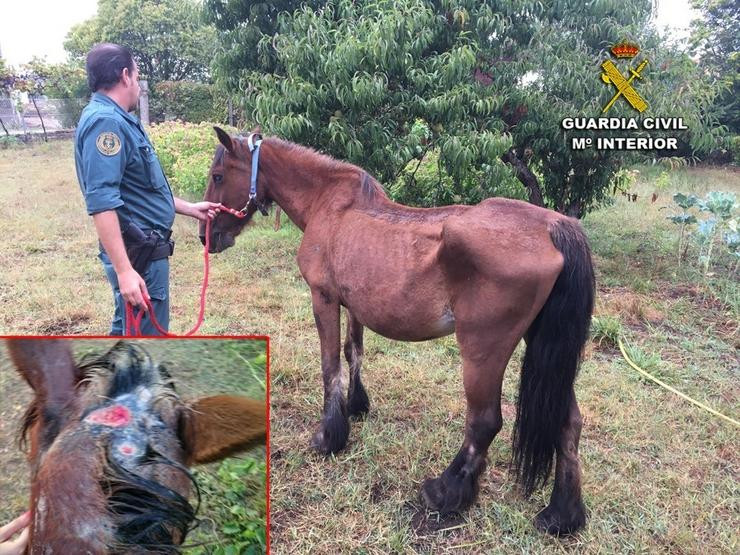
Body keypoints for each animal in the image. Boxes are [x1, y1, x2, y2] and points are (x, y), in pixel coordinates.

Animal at [201, 128, 594, 535]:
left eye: (218, 176)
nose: (206, 237)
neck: (329, 205)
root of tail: (553, 227)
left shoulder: (323, 298)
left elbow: (329, 365)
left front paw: (329, 436)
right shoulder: (354, 305)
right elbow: (353, 352)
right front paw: (357, 407)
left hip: (483, 349)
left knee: (485, 421)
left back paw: (445, 492)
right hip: (545, 350)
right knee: (569, 423)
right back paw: (561, 514)